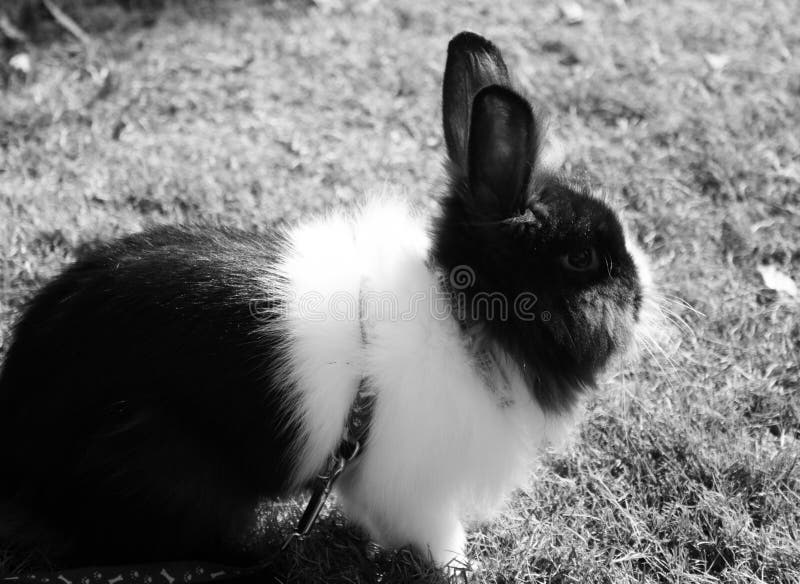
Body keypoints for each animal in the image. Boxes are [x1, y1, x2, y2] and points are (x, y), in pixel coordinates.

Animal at [0, 31, 654, 569]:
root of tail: (23, 446)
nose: (643, 294)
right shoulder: (413, 485)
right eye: (582, 259)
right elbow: (435, 532)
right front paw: (457, 566)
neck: (460, 312)